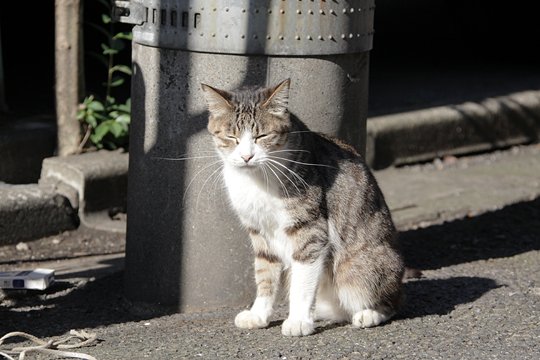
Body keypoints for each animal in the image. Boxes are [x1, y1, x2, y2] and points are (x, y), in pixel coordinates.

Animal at [202, 79, 404, 338]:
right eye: (232, 137)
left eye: (261, 136)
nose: (247, 157)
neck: (256, 179)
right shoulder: (259, 230)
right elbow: (264, 275)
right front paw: (259, 315)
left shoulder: (309, 229)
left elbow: (303, 280)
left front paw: (298, 320)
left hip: (358, 270)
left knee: (388, 301)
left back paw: (368, 313)